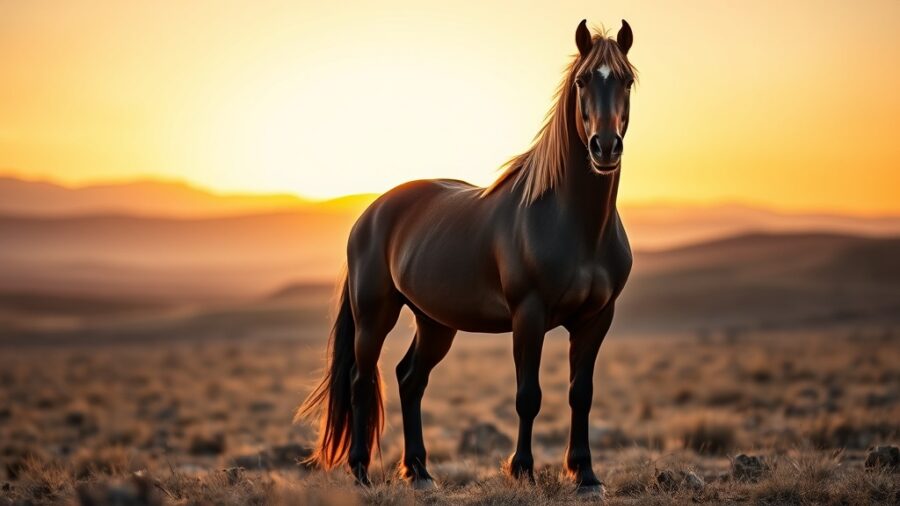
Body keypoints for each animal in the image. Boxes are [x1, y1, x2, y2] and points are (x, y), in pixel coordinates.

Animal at [297, 19, 636, 494]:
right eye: (583, 80)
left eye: (627, 80)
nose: (604, 147)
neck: (575, 224)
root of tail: (372, 212)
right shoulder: (528, 315)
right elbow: (528, 396)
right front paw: (523, 470)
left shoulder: (596, 319)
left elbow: (580, 395)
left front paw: (586, 475)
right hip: (374, 315)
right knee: (361, 381)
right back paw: (361, 472)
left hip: (435, 322)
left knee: (410, 379)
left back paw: (420, 472)